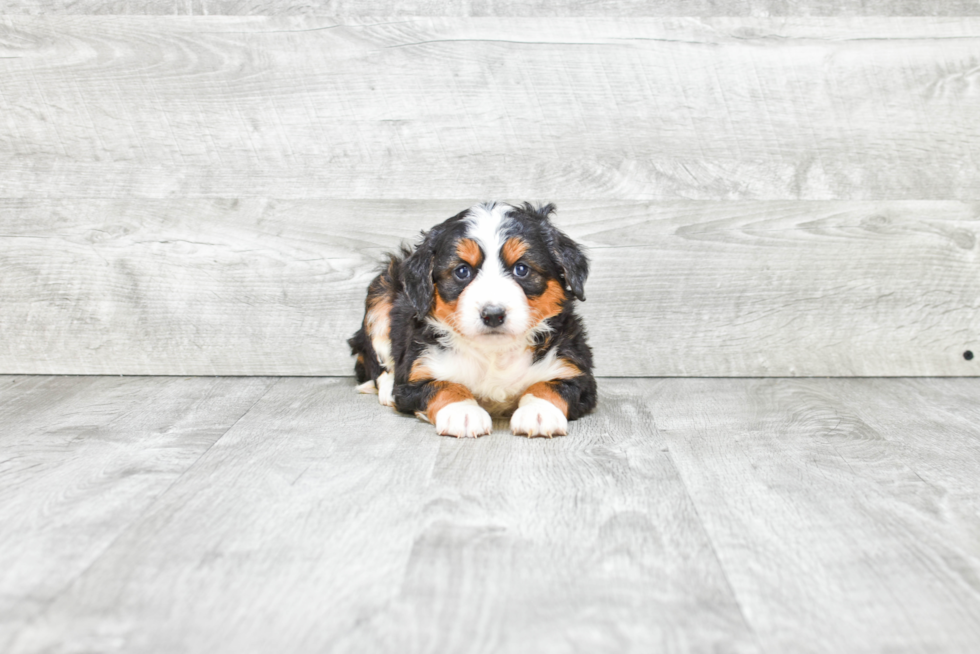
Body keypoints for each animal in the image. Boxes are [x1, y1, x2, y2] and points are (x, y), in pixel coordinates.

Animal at [352, 200, 596, 438]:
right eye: (462, 271)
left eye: (521, 269)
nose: (493, 315)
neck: (495, 354)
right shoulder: (415, 376)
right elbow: (445, 385)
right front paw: (463, 412)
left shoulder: (575, 371)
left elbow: (548, 386)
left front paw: (539, 412)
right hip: (381, 293)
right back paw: (386, 389)